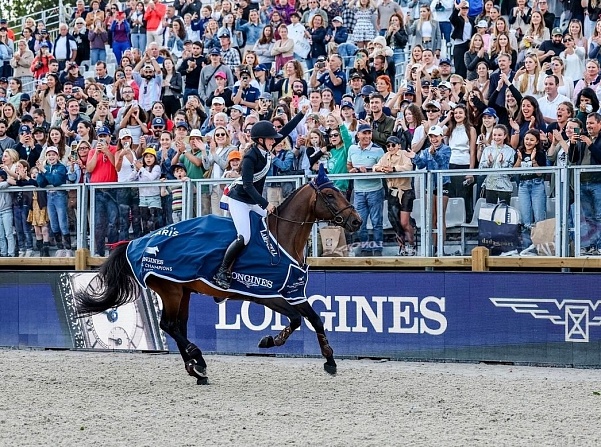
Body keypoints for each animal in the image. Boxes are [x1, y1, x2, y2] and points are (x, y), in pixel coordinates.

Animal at [77, 175, 364, 384]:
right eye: (330, 195)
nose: (356, 221)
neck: (280, 238)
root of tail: (136, 242)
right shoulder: (267, 294)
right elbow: (300, 319)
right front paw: (272, 342)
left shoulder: (289, 294)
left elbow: (311, 319)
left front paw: (326, 360)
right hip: (171, 290)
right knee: (168, 324)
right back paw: (197, 360)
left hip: (183, 292)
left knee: (178, 326)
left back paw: (196, 369)